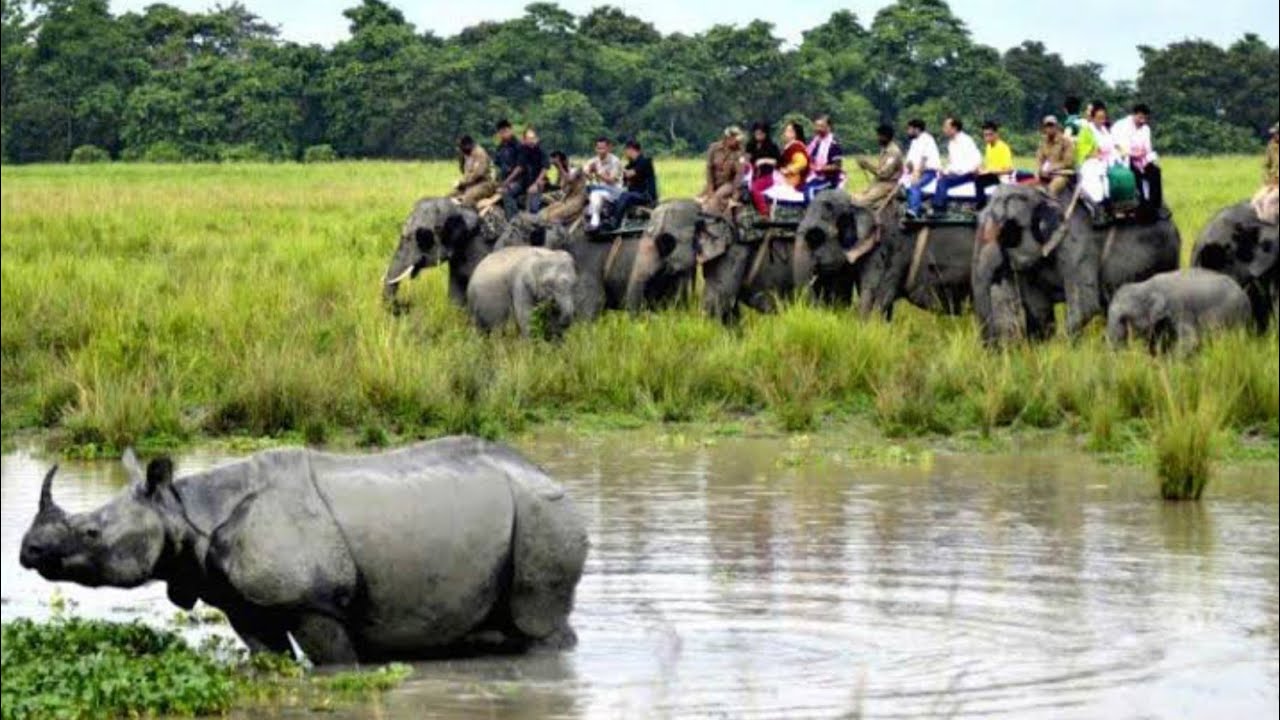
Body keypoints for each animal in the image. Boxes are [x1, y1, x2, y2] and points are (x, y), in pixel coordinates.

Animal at [19, 438, 588, 664]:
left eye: (91, 534)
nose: (28, 551)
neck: (182, 509)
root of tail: (548, 476)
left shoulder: (314, 601)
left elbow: (334, 662)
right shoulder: (243, 601)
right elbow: (269, 654)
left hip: (543, 515)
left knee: (539, 618)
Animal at [972, 184, 1181, 344]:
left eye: (1006, 232)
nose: (993, 347)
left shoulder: (1078, 246)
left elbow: (1085, 307)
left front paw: (1063, 349)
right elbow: (1039, 310)